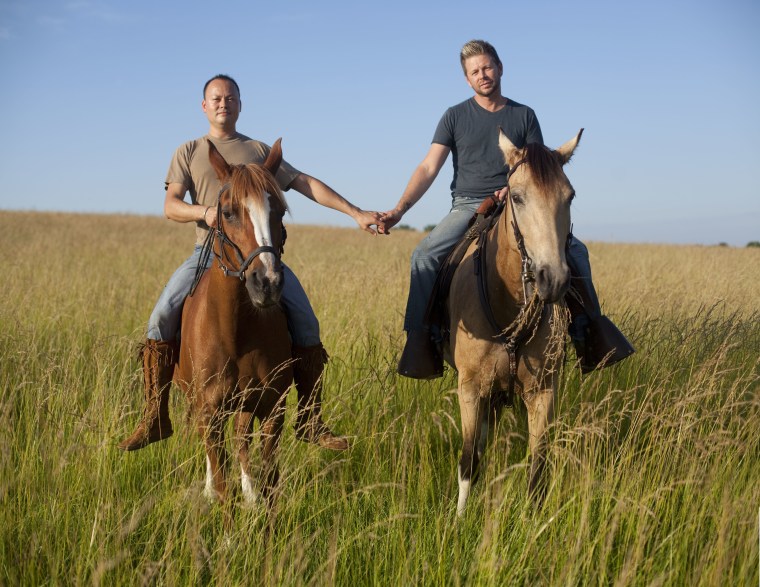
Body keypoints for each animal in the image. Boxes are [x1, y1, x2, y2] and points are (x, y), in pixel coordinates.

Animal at [174, 138, 292, 516]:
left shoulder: (272, 408)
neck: (236, 331)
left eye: (278, 211)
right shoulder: (210, 411)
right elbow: (223, 484)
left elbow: (271, 482)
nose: (267, 283)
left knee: (241, 441)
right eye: (227, 212)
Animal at [446, 127, 580, 516]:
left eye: (569, 196)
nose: (554, 280)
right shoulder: (470, 388)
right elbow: (468, 460)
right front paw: (459, 520)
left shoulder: (544, 390)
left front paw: (532, 521)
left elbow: (538, 465)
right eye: (517, 197)